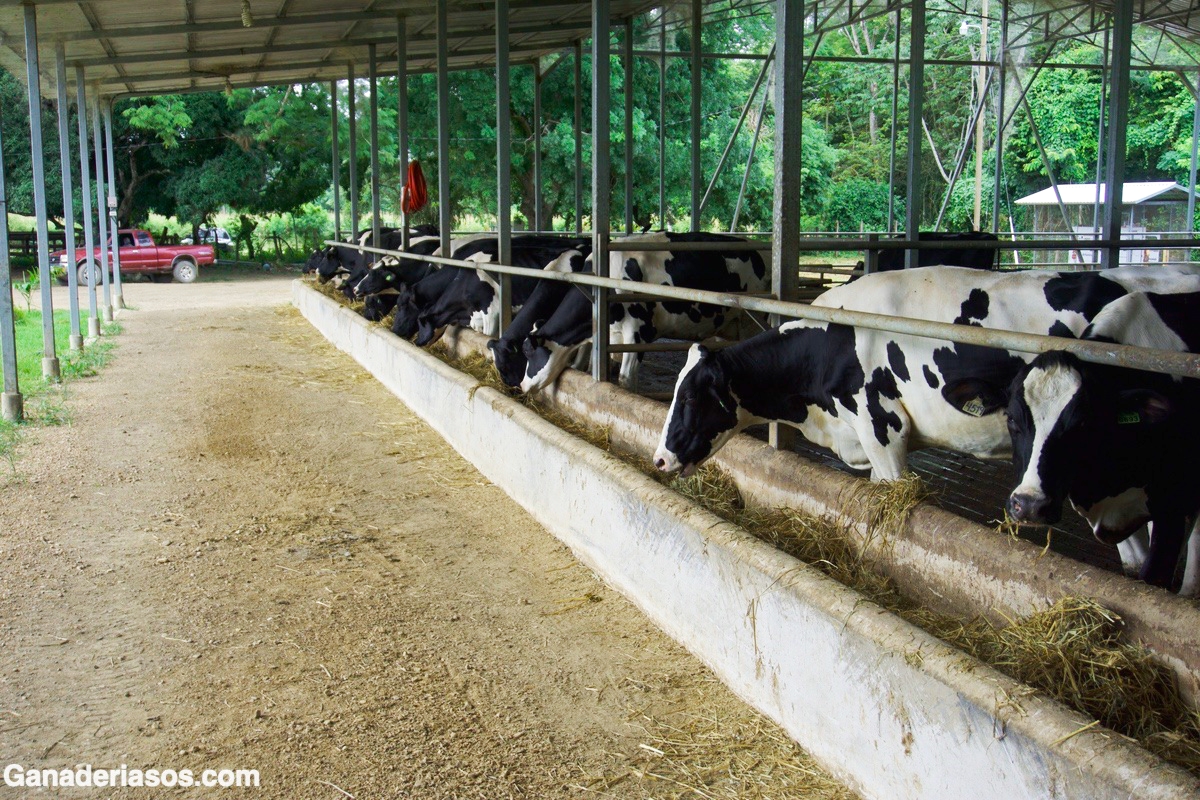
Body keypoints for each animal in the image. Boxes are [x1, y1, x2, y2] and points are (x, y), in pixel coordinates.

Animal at [518, 231, 768, 393]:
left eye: (528, 353)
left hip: (753, 323)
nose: (521, 385)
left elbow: (626, 379)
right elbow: (587, 366)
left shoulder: (638, 332)